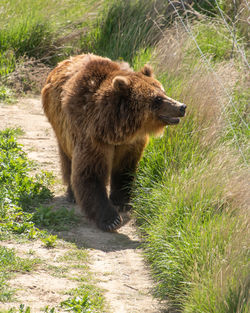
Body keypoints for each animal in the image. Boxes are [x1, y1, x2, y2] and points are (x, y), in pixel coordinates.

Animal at [41, 53, 186, 230]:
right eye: (157, 99)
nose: (181, 107)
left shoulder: (130, 144)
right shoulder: (91, 137)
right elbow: (90, 173)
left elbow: (124, 169)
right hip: (61, 128)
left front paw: (121, 201)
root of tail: (63, 62)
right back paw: (72, 194)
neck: (113, 128)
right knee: (67, 158)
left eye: (163, 91)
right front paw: (111, 219)